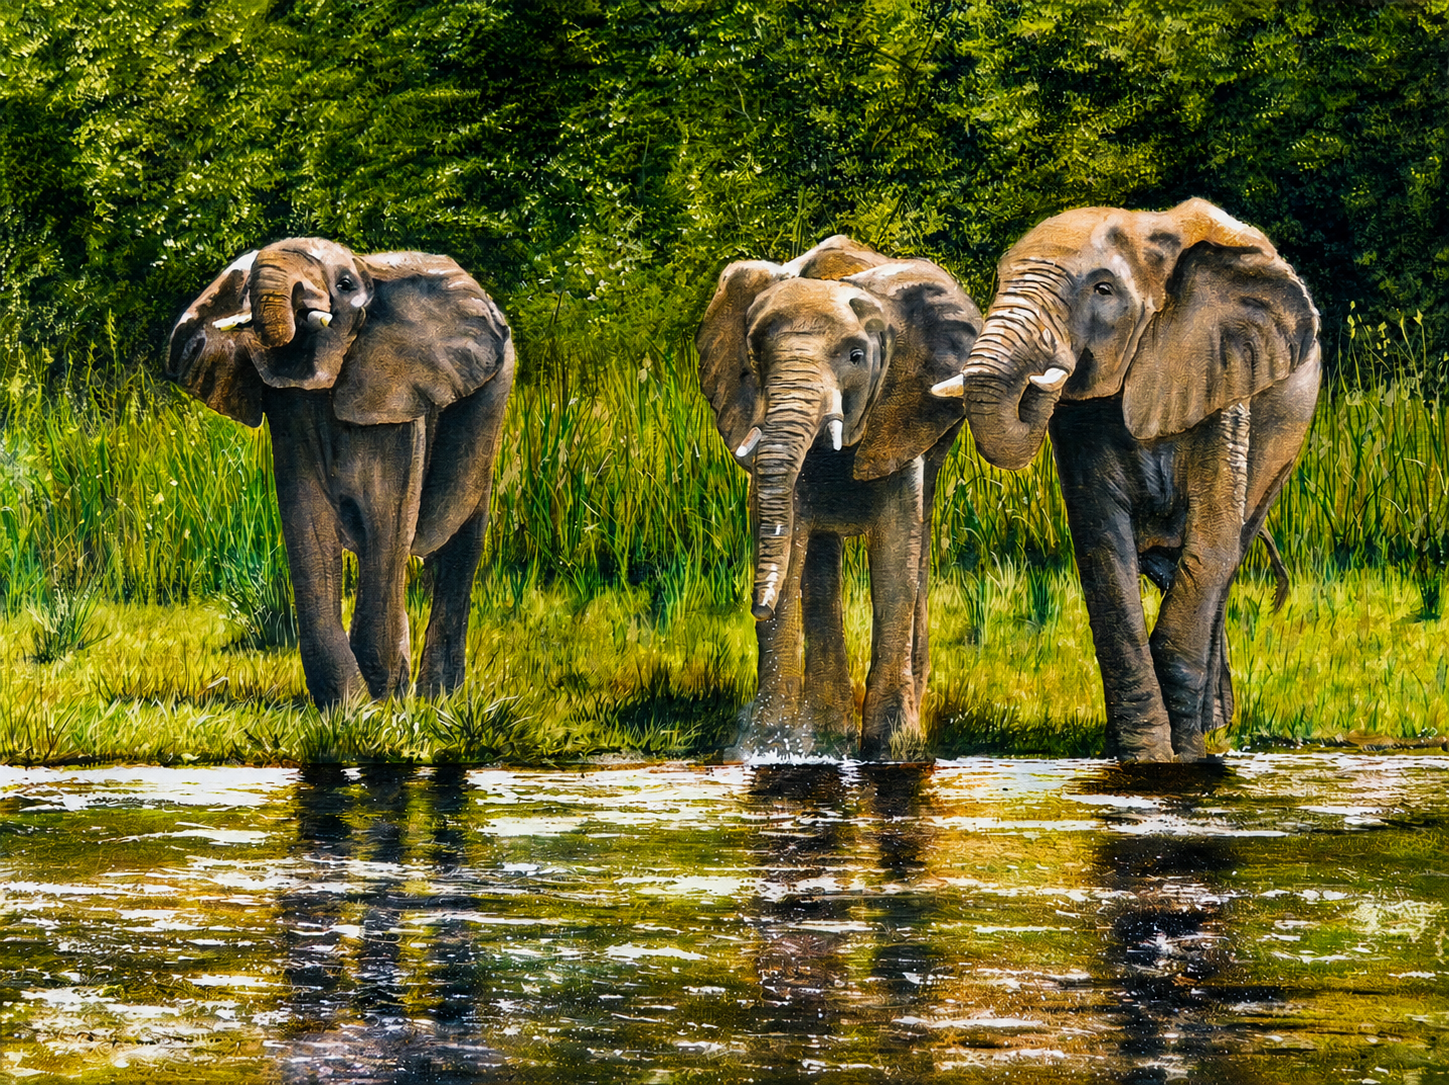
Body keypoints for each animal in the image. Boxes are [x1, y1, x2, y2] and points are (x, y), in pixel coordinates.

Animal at [167, 238, 515, 708]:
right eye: (242, 286)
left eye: (346, 285)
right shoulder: (290, 412)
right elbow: (309, 527)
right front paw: (349, 709)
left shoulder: (396, 399)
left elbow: (387, 523)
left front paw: (383, 703)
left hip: (493, 405)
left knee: (460, 545)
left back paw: (439, 701)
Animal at [698, 235, 980, 760]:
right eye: (755, 357)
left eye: (855, 356)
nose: (757, 607)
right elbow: (787, 536)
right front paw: (769, 748)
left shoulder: (901, 408)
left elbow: (896, 549)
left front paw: (893, 749)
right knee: (820, 559)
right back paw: (830, 732)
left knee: (919, 539)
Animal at [931, 198, 1320, 762]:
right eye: (1001, 281)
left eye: (1103, 290)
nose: (1047, 371)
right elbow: (1103, 548)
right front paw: (1143, 755)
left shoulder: (1222, 376)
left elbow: (1211, 545)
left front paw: (1179, 759)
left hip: (1281, 454)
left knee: (1222, 561)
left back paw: (1210, 729)